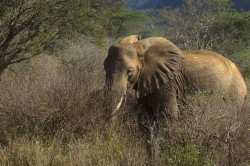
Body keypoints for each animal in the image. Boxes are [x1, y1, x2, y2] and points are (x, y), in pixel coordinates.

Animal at [102, 35, 247, 162]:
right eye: (104, 68)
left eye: (129, 71)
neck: (140, 48)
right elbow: (145, 120)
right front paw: (151, 158)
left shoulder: (168, 83)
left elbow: (168, 117)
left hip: (234, 96)